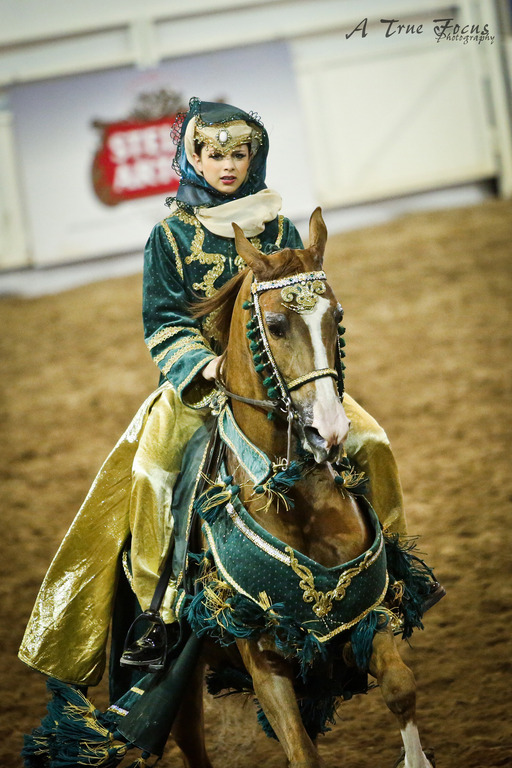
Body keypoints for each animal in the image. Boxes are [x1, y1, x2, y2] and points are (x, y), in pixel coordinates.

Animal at [166, 208, 435, 768]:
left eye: (337, 317)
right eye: (274, 325)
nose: (327, 431)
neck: (292, 496)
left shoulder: (364, 610)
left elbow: (400, 687)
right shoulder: (260, 649)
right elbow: (300, 748)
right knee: (190, 739)